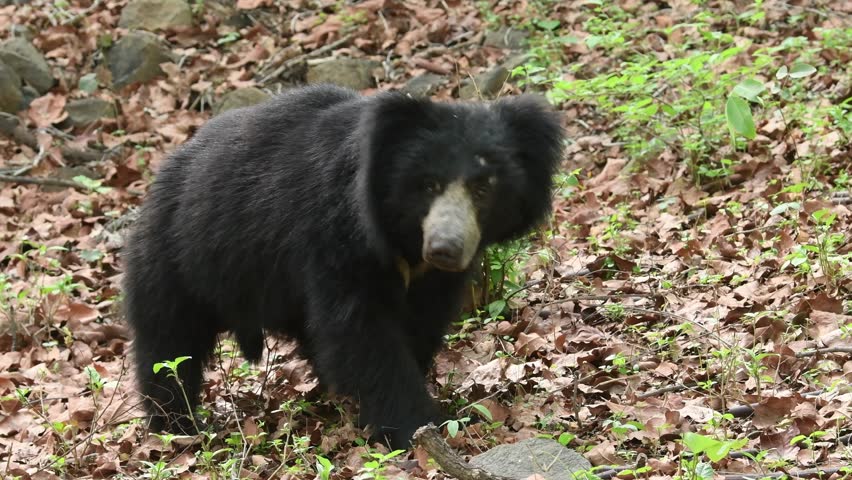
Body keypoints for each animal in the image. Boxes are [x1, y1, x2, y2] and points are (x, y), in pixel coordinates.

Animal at [121, 84, 564, 449]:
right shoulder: (333, 238)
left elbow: (420, 321)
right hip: (176, 259)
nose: (445, 249)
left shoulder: (431, 280)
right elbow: (361, 332)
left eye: (483, 186)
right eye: (428, 184)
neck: (401, 241)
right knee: (168, 342)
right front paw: (416, 425)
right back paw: (176, 426)